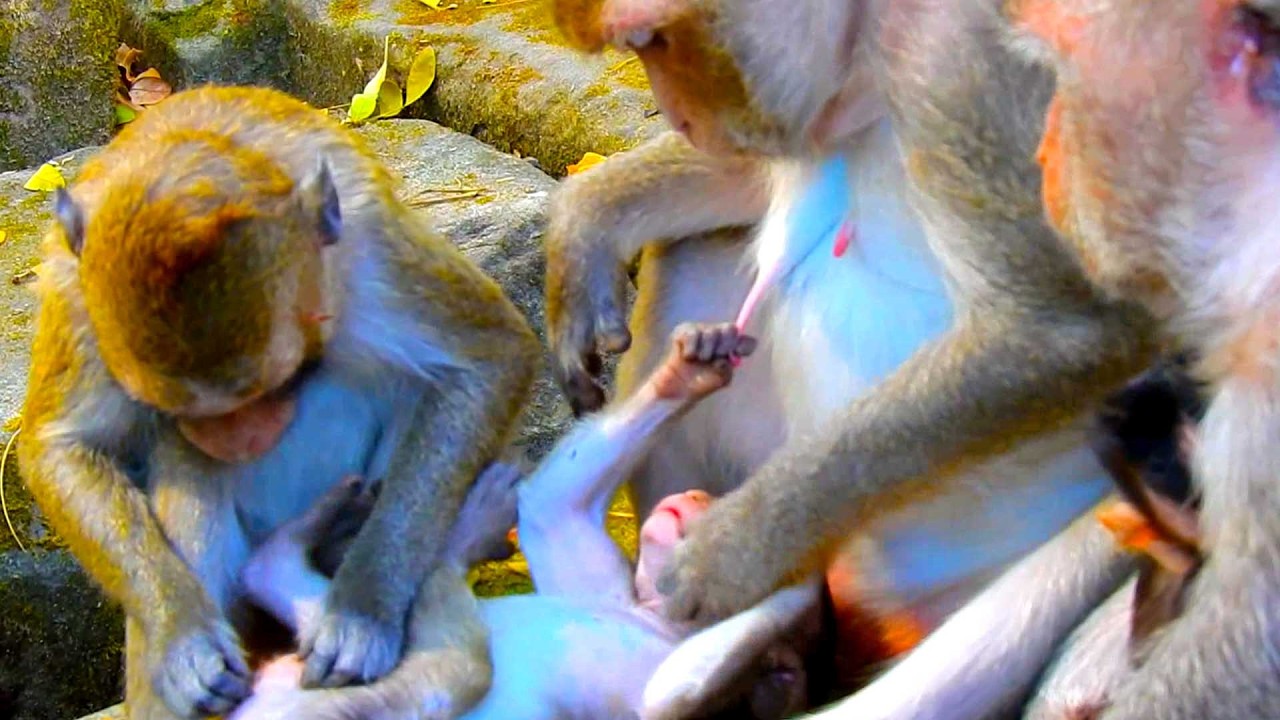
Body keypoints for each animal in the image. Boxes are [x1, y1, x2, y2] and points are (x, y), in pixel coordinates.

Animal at [16, 85, 540, 719]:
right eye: (180, 411)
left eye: (283, 383)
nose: (242, 441)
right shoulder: (72, 293)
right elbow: (59, 446)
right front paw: (181, 634)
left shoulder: (373, 248)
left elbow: (491, 355)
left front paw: (361, 609)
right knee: (193, 471)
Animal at [225, 322, 832, 720]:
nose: (700, 496)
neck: (652, 618)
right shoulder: (599, 581)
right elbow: (551, 504)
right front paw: (689, 371)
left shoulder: (668, 691)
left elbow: (676, 691)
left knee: (446, 671)